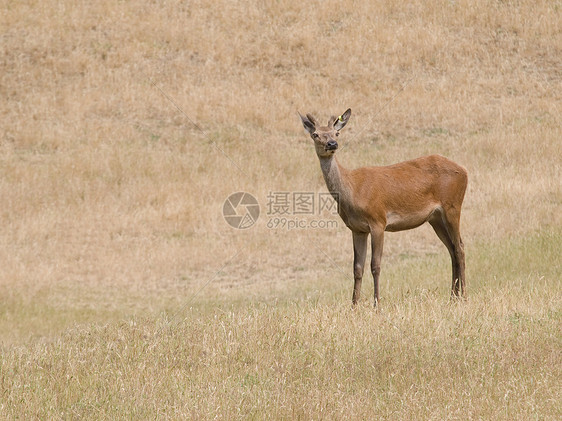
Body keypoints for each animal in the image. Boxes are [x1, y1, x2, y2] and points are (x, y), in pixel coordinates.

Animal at [300, 108, 466, 306]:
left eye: (336, 133)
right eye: (316, 134)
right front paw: (354, 305)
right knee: (451, 249)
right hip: (435, 218)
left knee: (460, 247)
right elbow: (357, 268)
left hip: (453, 206)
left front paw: (376, 304)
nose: (332, 143)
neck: (353, 190)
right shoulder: (357, 229)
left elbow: (375, 265)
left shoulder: (378, 220)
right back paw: (453, 296)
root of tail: (464, 171)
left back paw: (464, 295)